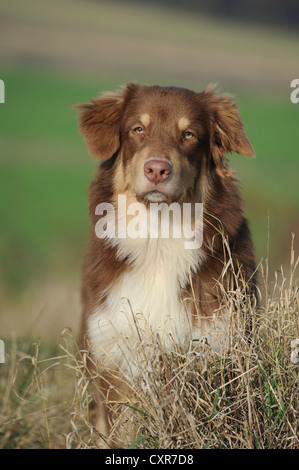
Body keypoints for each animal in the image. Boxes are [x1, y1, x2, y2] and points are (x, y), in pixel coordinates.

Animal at [76, 82, 256, 438]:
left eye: (188, 134)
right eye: (138, 129)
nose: (157, 169)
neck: (158, 238)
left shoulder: (216, 342)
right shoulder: (111, 355)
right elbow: (123, 430)